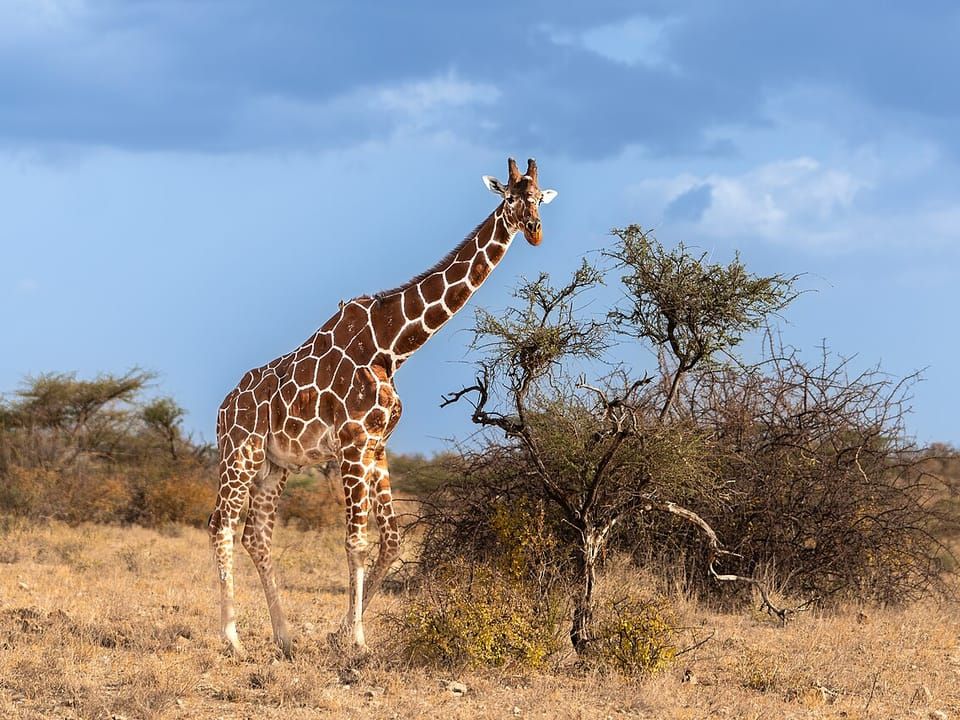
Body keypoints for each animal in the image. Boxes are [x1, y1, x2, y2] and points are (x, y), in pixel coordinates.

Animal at [209, 157, 557, 656]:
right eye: (510, 197)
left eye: (539, 198)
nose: (534, 230)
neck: (392, 347)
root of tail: (223, 407)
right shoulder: (352, 443)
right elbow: (356, 541)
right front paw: (357, 640)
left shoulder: (376, 446)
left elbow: (392, 542)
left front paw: (339, 634)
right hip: (241, 453)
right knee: (220, 524)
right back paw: (233, 639)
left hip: (276, 465)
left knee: (256, 535)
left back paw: (285, 637)